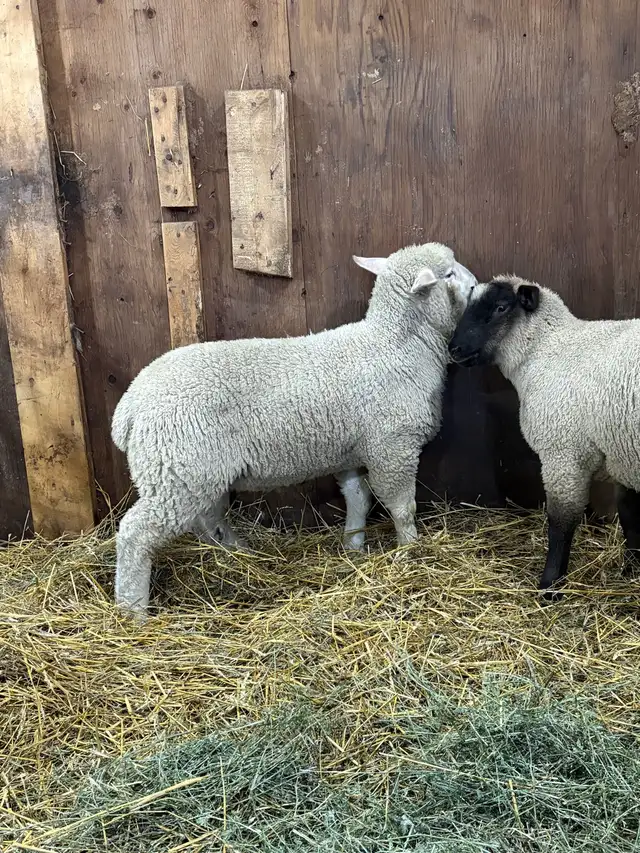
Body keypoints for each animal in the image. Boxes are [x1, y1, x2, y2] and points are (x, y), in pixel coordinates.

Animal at [112, 242, 477, 617]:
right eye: (449, 273)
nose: (476, 283)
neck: (396, 344)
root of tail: (129, 408)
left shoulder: (350, 450)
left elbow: (358, 498)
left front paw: (354, 545)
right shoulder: (393, 449)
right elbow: (403, 508)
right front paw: (409, 551)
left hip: (193, 472)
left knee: (206, 518)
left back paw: (236, 552)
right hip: (176, 471)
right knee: (135, 534)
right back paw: (133, 609)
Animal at [448, 274, 640, 598]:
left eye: (501, 308)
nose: (455, 349)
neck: (546, 351)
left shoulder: (562, 454)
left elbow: (561, 523)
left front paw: (550, 586)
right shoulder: (621, 453)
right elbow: (630, 517)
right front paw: (632, 569)